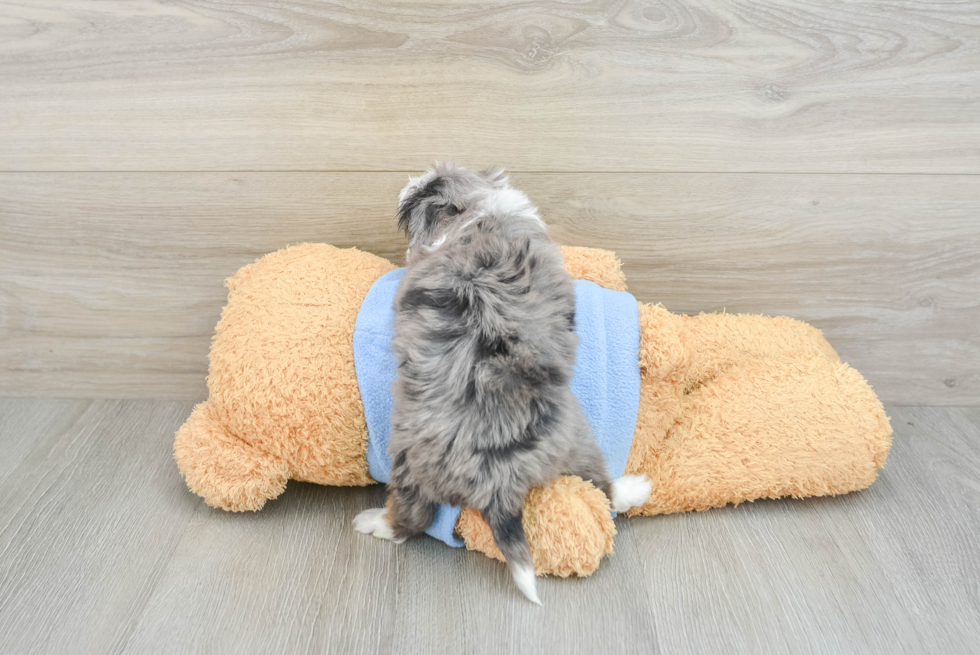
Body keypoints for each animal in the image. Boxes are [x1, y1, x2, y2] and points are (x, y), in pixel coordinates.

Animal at [354, 165, 652, 604]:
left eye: (428, 189)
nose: (412, 181)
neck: (482, 209)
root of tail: (499, 482)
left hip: (408, 459)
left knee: (414, 517)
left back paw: (374, 522)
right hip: (576, 438)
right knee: (601, 486)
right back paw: (634, 489)